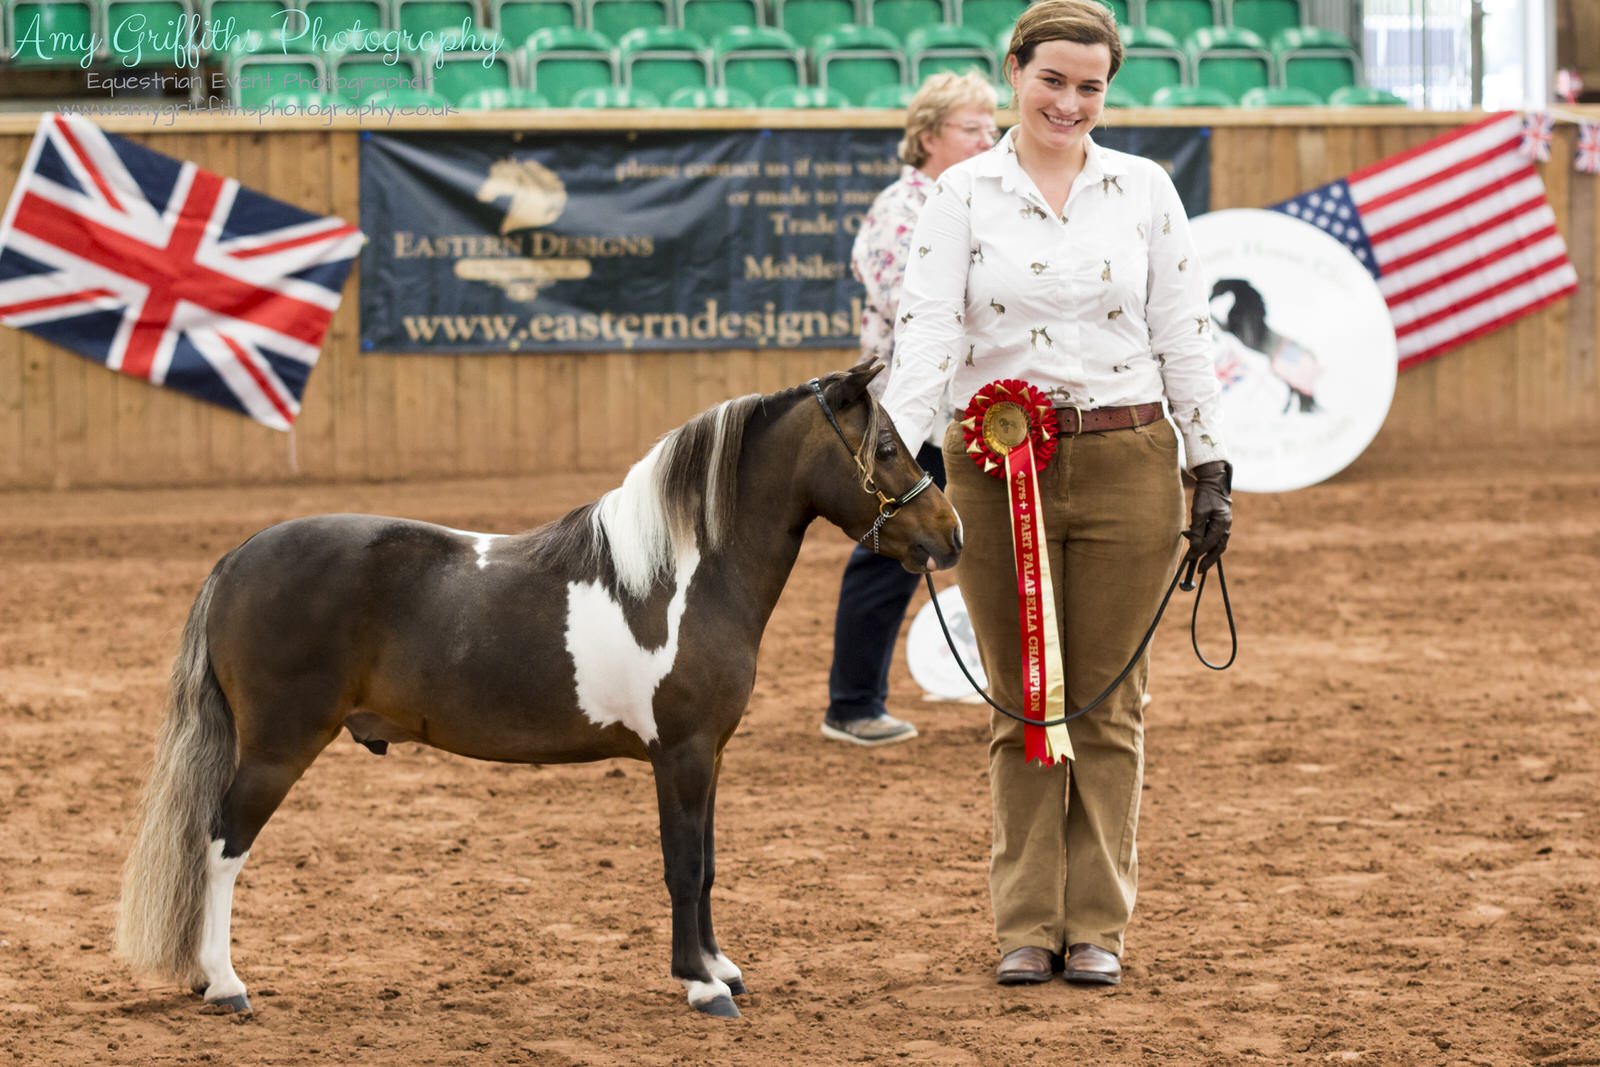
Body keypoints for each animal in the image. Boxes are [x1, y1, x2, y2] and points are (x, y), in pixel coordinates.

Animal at [118, 364, 960, 1017]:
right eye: (886, 446)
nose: (948, 535)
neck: (682, 577)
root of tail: (237, 558)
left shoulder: (710, 757)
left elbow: (711, 861)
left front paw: (720, 965)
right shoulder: (680, 755)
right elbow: (683, 864)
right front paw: (700, 984)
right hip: (276, 749)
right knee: (221, 846)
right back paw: (226, 983)